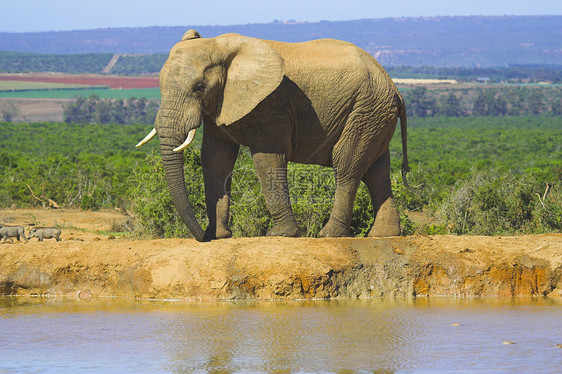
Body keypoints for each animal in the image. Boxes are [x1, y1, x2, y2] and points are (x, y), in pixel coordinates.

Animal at [136, 27, 406, 241]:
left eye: (199, 87)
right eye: (158, 85)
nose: (202, 236)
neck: (219, 45)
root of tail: (395, 89)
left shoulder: (270, 104)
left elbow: (267, 158)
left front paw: (281, 234)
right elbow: (215, 159)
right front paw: (219, 236)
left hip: (365, 110)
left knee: (347, 166)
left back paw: (329, 235)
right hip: (375, 115)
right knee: (377, 171)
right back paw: (383, 235)